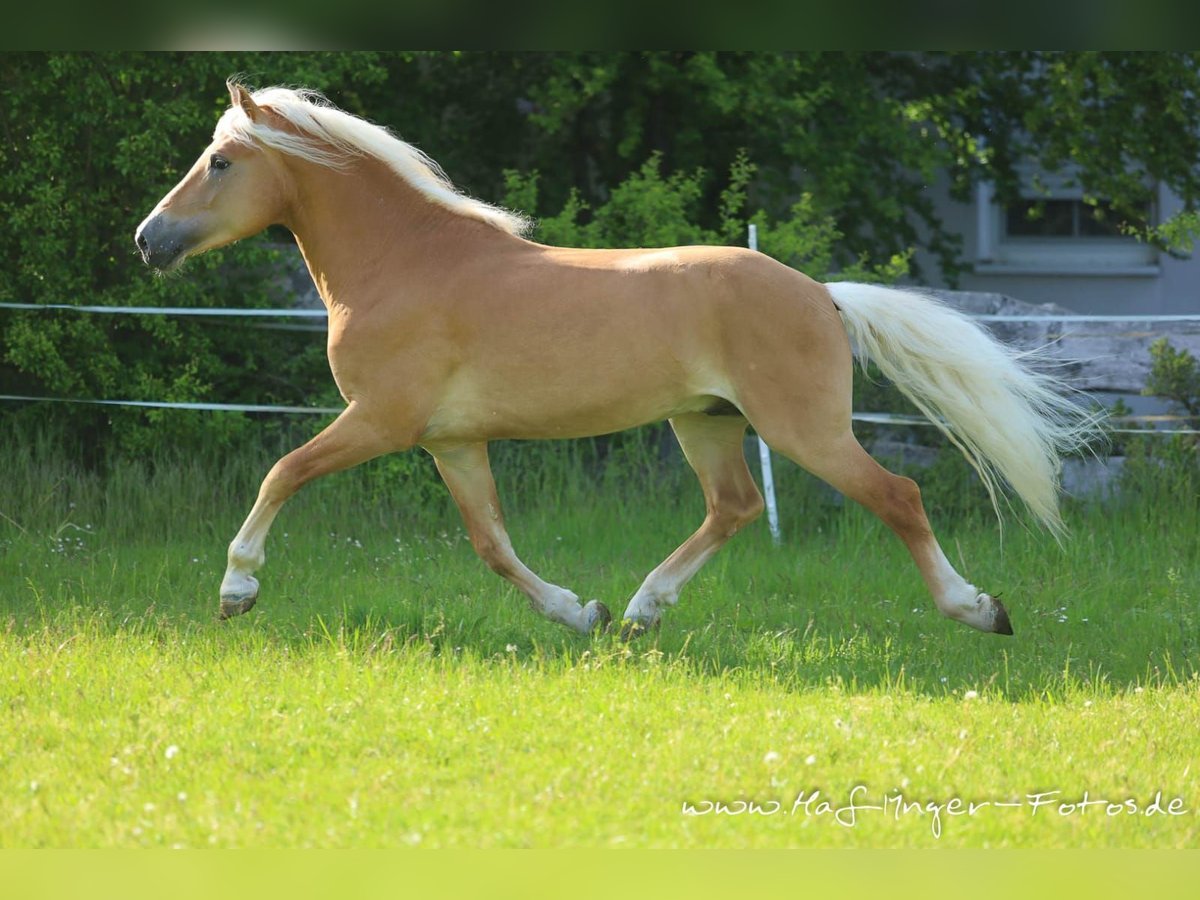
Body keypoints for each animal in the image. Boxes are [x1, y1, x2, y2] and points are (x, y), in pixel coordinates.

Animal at [131, 81, 1099, 638]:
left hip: (803, 429)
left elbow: (282, 473)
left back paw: (979, 610)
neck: (406, 263)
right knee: (736, 507)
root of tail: (822, 293)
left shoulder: (380, 421)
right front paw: (578, 612)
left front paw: (237, 590)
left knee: (895, 496)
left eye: (220, 161)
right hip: (706, 424)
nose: (148, 240)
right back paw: (638, 612)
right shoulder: (451, 441)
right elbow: (492, 544)